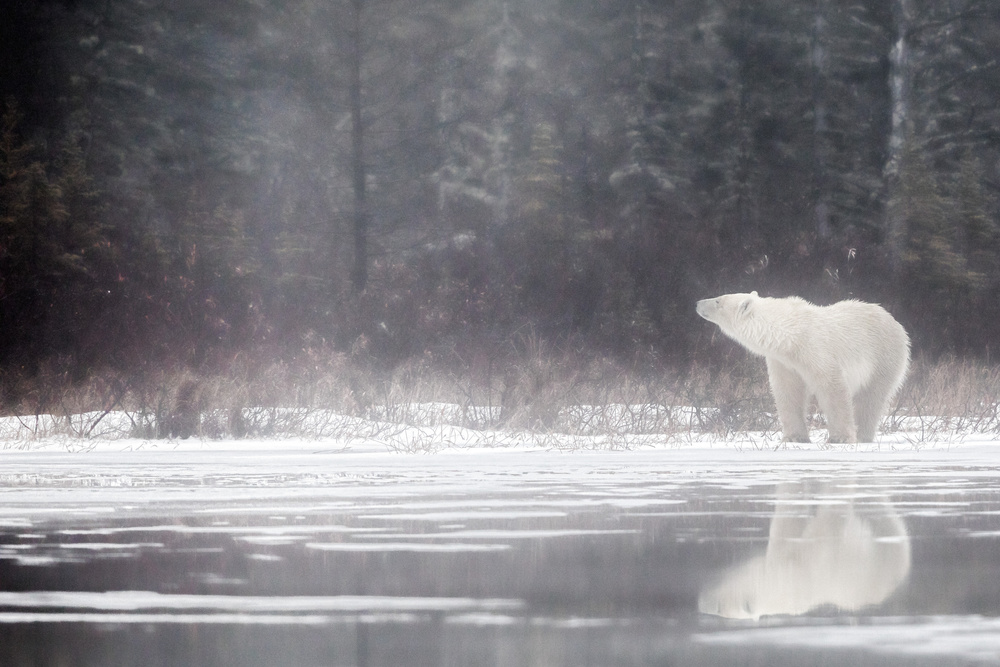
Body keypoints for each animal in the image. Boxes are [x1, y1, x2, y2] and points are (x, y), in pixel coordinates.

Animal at [700, 292, 912, 444]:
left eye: (718, 300)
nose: (698, 302)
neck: (790, 335)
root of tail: (896, 323)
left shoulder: (815, 349)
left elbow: (832, 387)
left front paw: (840, 438)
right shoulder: (783, 361)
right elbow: (788, 392)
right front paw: (794, 437)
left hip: (883, 357)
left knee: (871, 397)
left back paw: (862, 435)